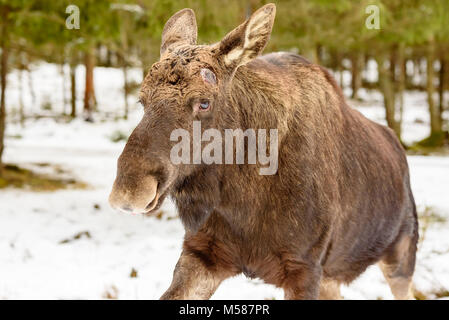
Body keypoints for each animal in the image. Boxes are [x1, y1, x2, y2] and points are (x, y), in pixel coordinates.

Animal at [108, 3, 416, 300]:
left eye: (204, 102)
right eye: (142, 99)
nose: (128, 190)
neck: (243, 202)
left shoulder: (304, 266)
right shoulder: (203, 252)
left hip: (400, 257)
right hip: (332, 276)